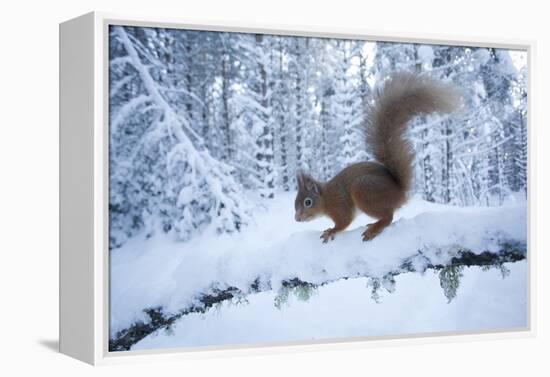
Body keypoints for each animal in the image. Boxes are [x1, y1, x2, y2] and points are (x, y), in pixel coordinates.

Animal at [296, 72, 464, 244]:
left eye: (307, 202)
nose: (297, 218)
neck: (326, 198)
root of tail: (400, 193)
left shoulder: (340, 206)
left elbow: (344, 222)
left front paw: (331, 230)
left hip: (363, 190)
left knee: (388, 217)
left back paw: (374, 228)